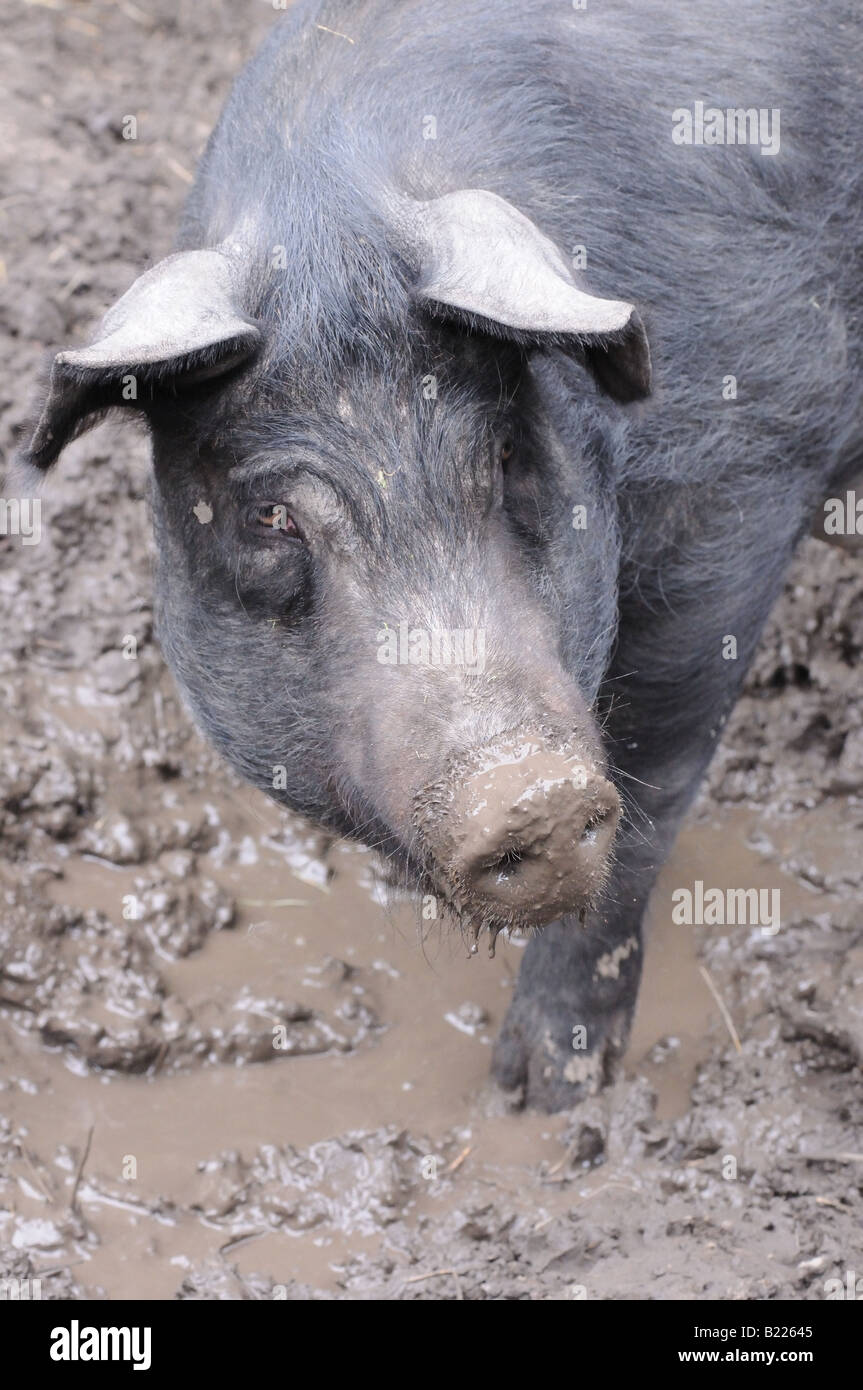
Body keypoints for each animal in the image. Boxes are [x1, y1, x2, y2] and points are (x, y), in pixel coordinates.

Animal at [15, 2, 861, 1106]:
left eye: (502, 457)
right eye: (271, 518)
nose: (532, 792)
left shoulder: (748, 479)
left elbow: (650, 784)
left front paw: (541, 1096)